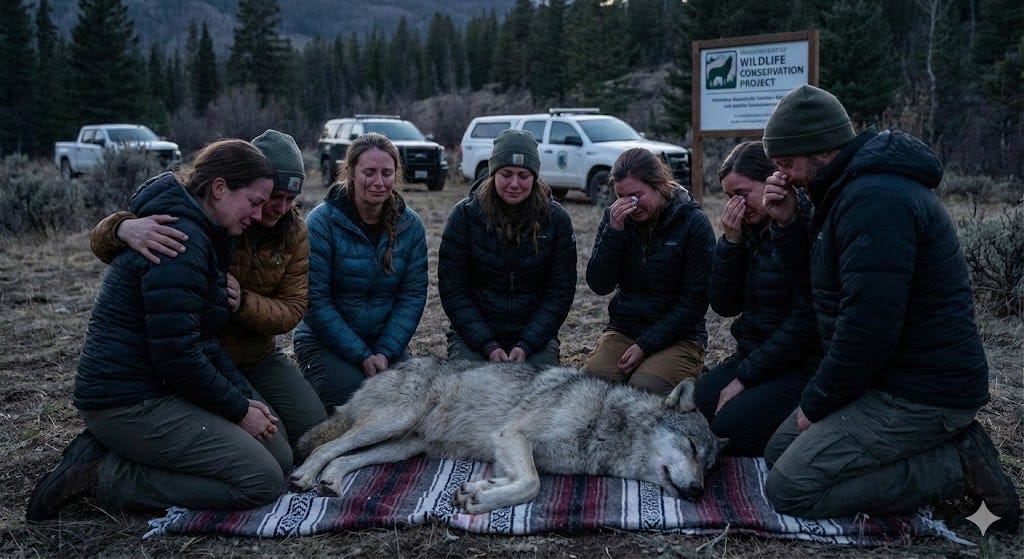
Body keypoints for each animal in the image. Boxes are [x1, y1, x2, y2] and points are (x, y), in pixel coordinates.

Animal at [292, 357, 724, 514]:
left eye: (709, 466)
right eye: (690, 447)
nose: (698, 491)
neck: (605, 421)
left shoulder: (512, 449)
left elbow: (521, 480)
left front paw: (481, 489)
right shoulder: (511, 434)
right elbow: (531, 484)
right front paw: (481, 500)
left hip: (401, 448)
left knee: (346, 458)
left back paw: (331, 482)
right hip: (393, 421)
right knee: (327, 446)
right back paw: (305, 476)